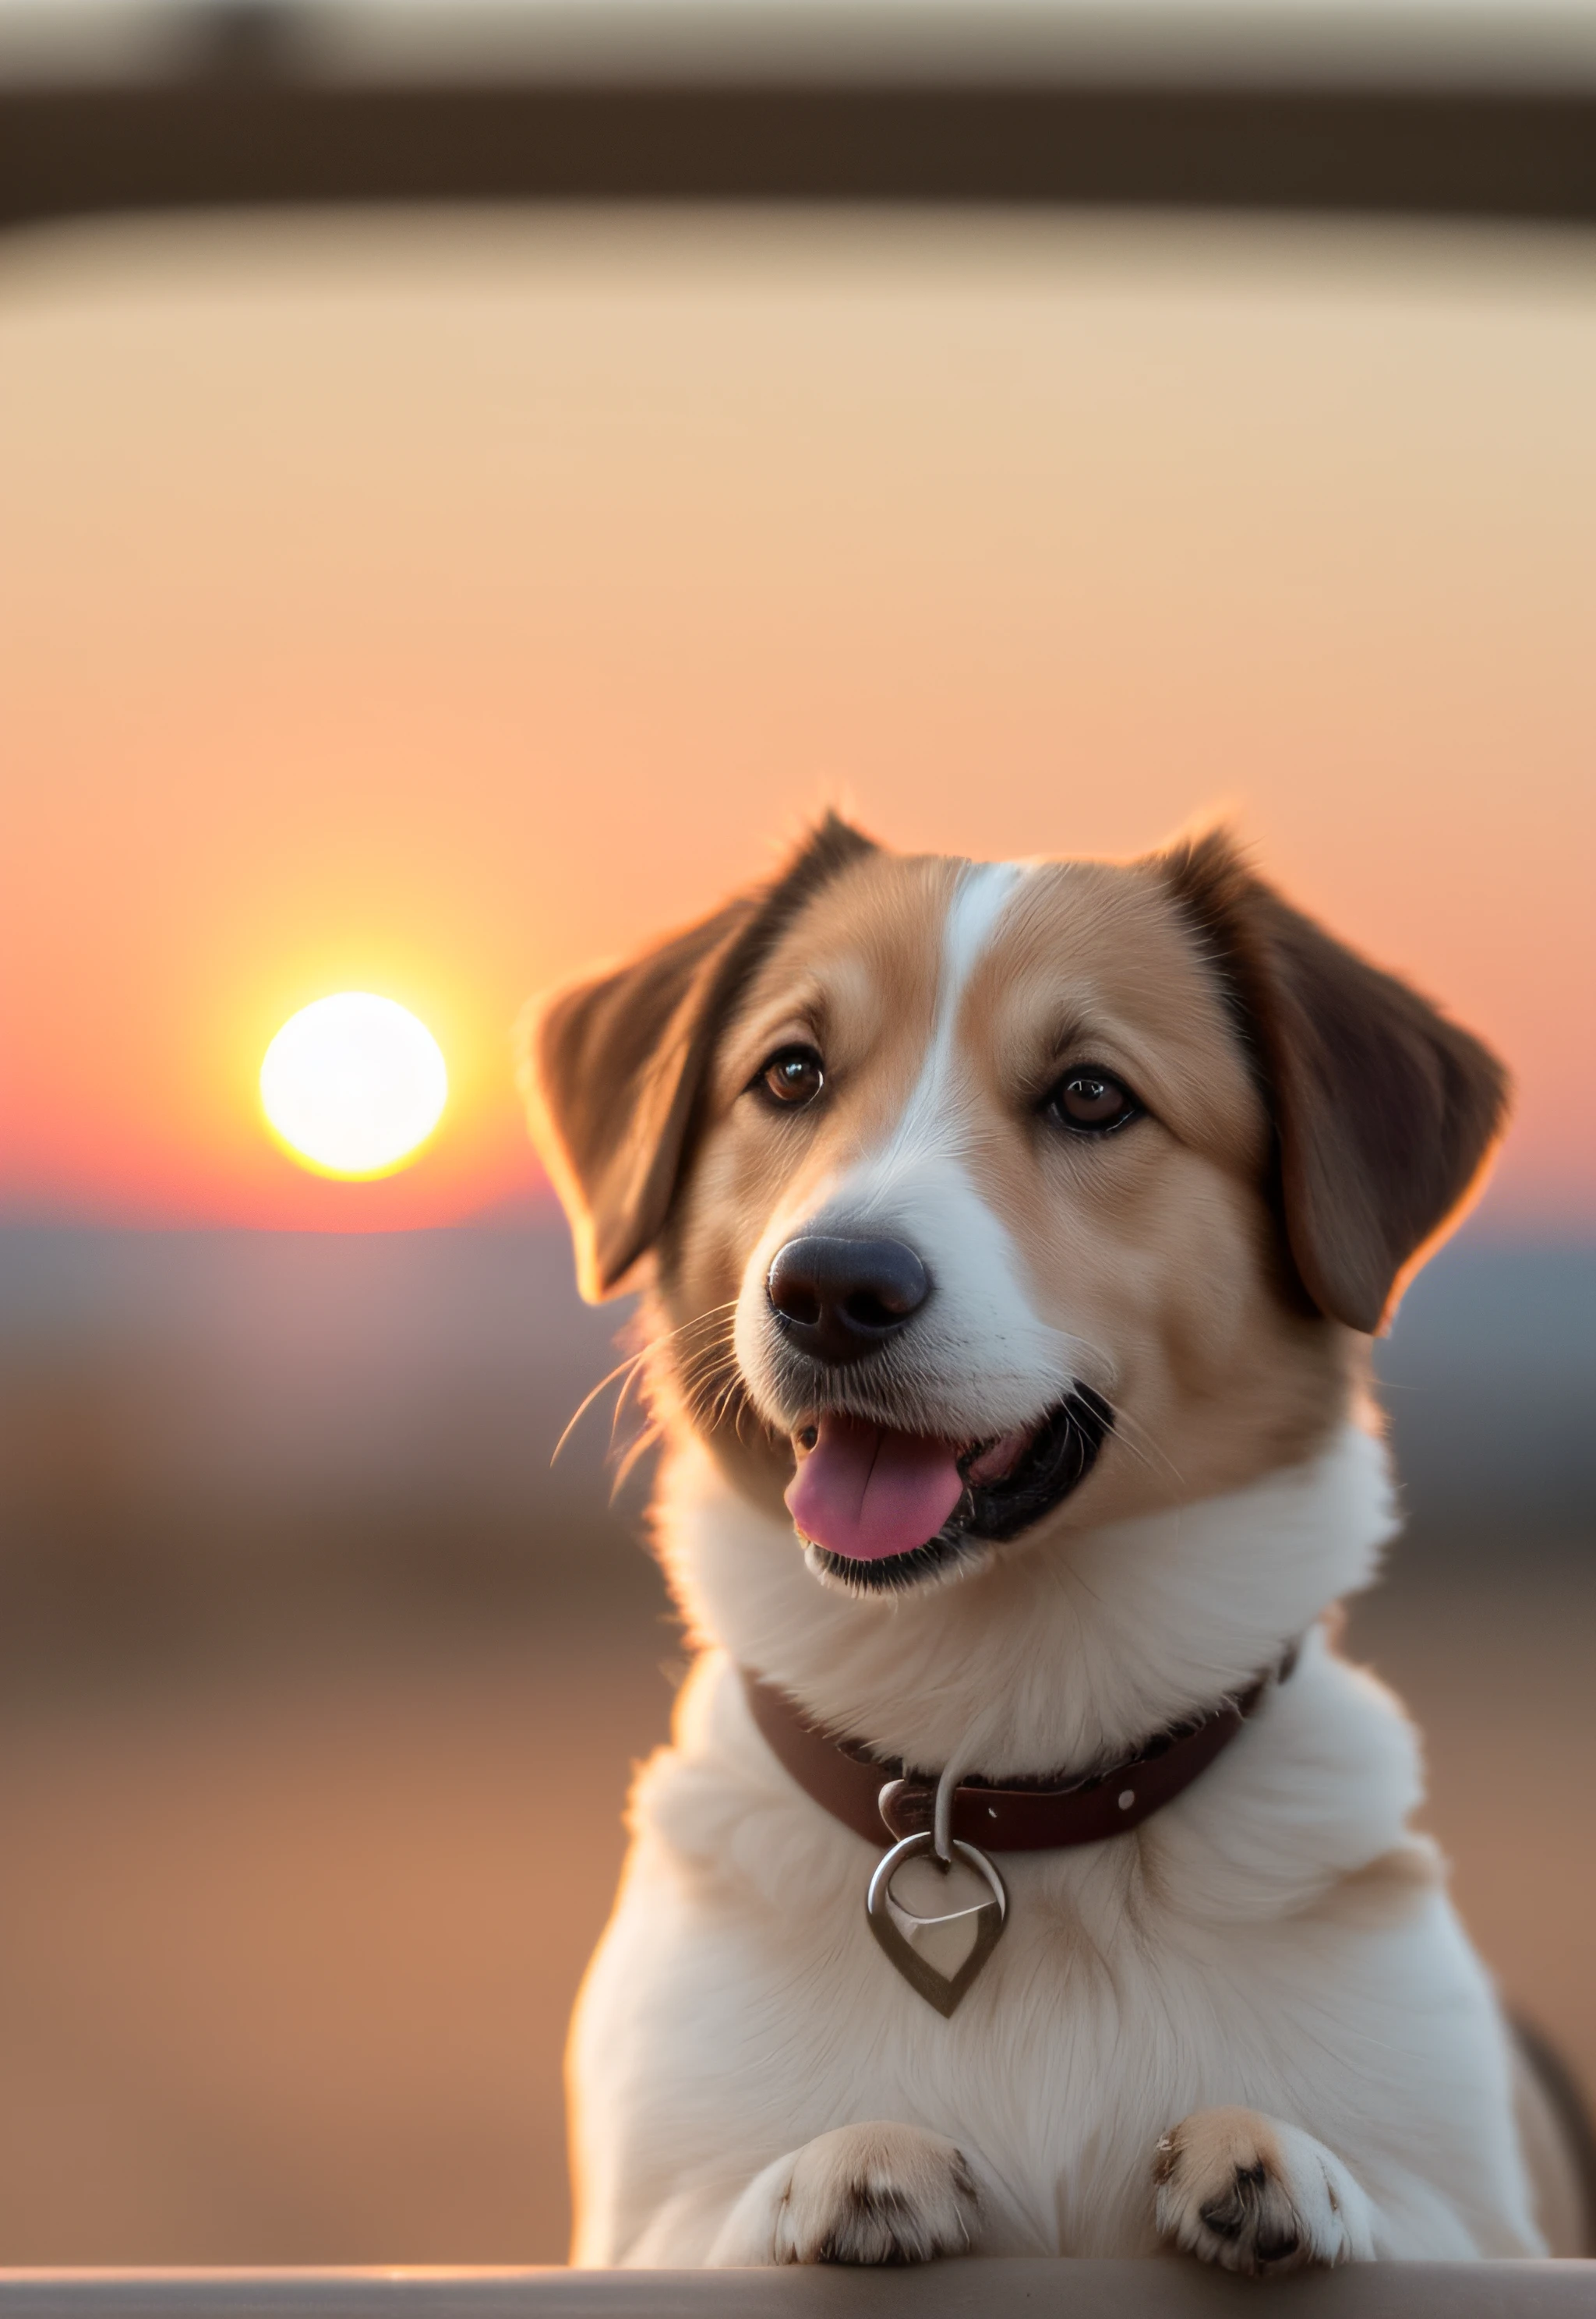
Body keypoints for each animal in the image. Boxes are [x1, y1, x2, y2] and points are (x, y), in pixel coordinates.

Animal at [519, 816, 1587, 2263]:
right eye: (790, 1073)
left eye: (1090, 1097)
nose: (829, 1287)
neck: (1005, 1764)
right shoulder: (643, 2226)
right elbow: (739, 2211)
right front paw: (842, 2169)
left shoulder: (1495, 2225)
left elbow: (1393, 2211)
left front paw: (1288, 2164)